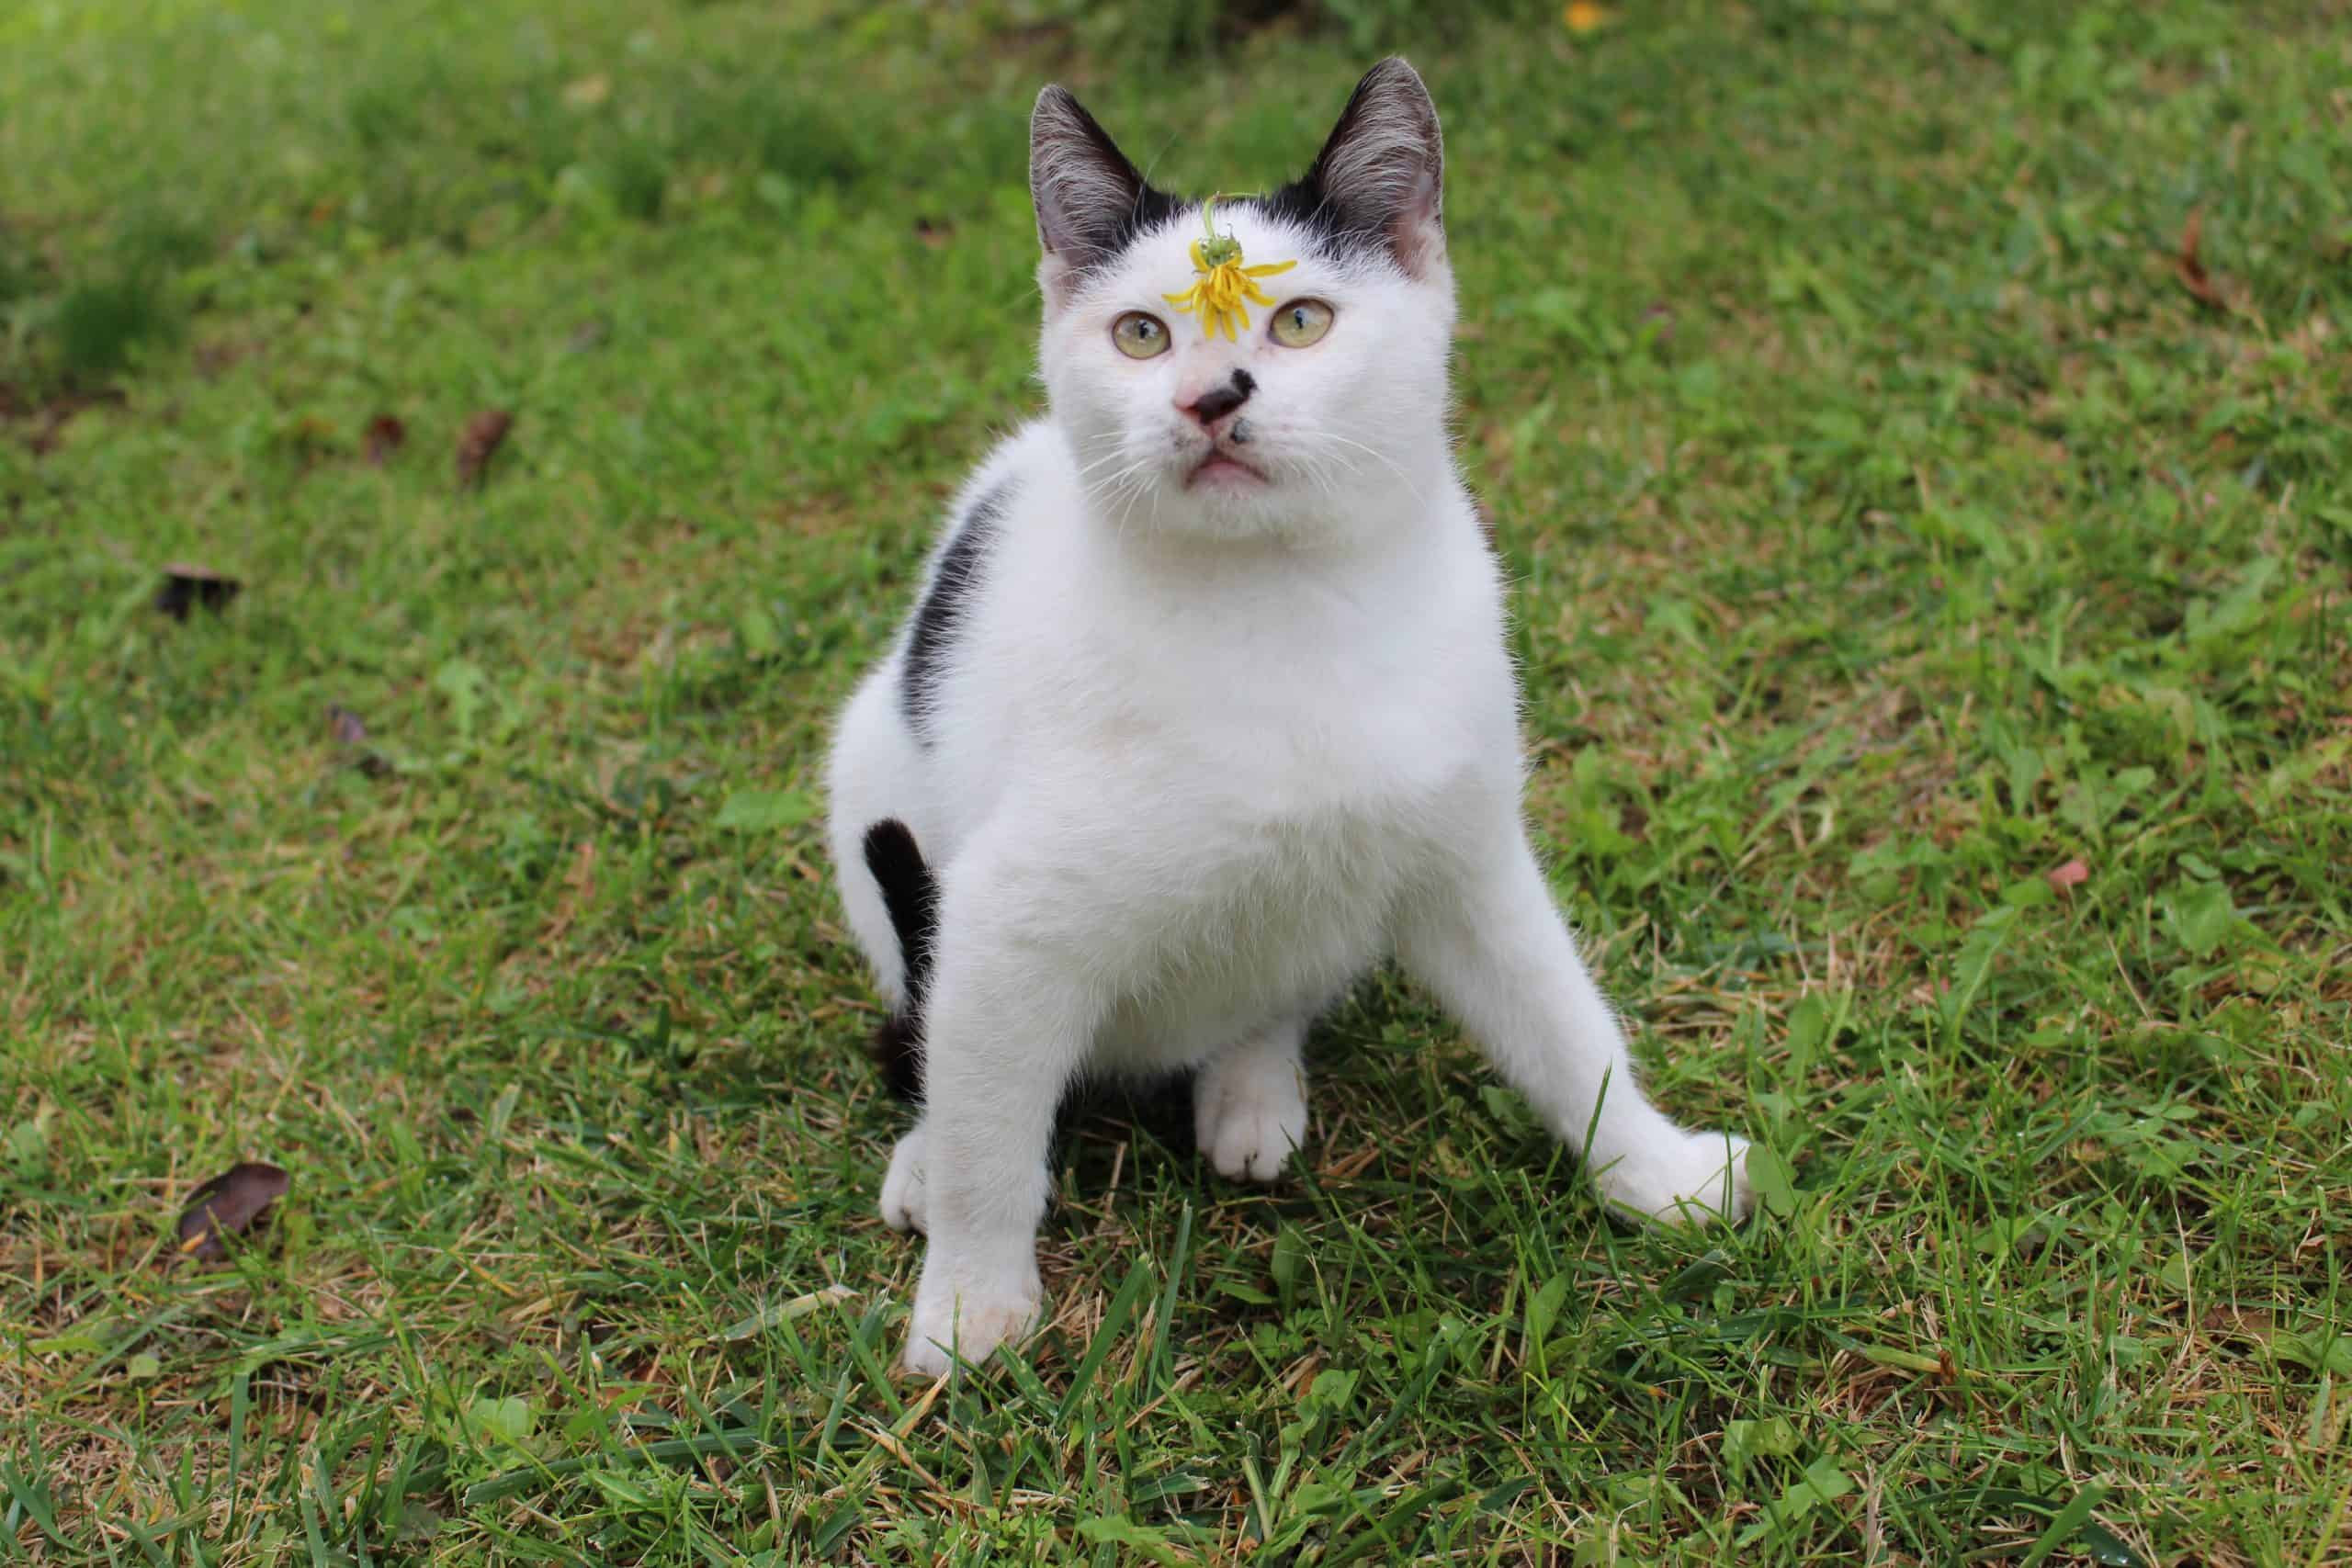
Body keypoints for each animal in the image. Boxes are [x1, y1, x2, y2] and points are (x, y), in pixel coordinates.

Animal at [828, 55, 1749, 1382]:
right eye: (1142, 333)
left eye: (1301, 320)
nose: (1212, 398)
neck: (1282, 603)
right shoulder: (1004, 920)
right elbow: (988, 1135)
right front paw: (968, 1304)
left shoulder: (1467, 852)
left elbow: (1566, 1024)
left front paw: (1652, 1169)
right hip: (862, 787)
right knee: (933, 1032)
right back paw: (925, 1151)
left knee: (1268, 988)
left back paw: (1253, 1080)